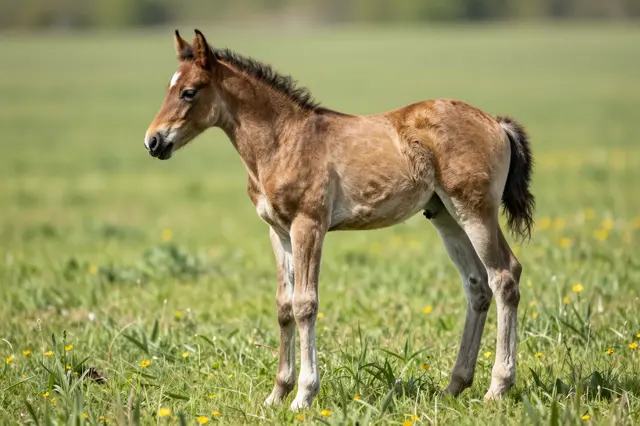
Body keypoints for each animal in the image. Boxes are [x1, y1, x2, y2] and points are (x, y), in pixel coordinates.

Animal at [144, 29, 534, 410]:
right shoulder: (278, 232)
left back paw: (497, 388)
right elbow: (284, 306)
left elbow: (305, 304)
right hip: (444, 215)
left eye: (189, 92)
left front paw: (303, 396)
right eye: (167, 88)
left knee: (504, 276)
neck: (283, 140)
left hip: (474, 210)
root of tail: (496, 123)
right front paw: (277, 394)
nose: (153, 141)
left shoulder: (308, 225)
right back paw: (454, 386)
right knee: (477, 285)